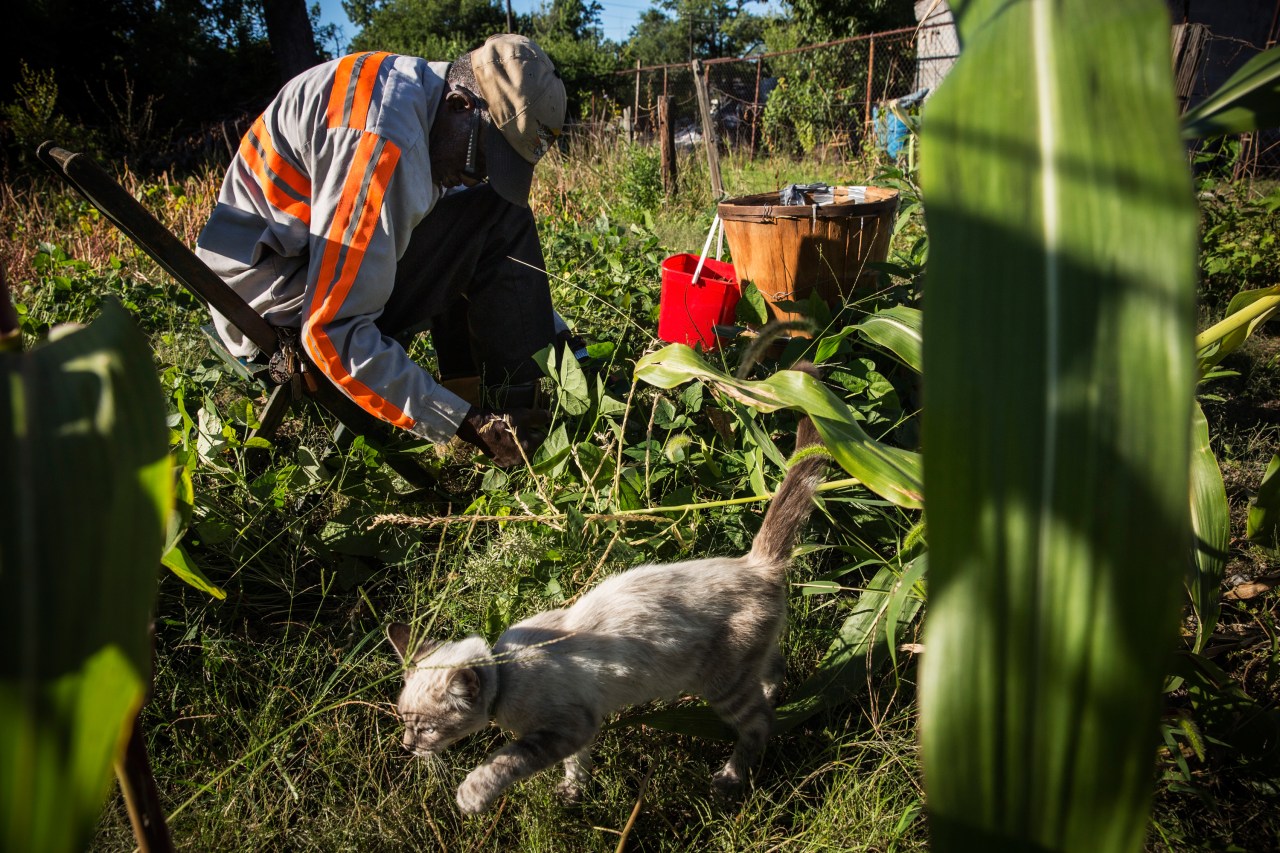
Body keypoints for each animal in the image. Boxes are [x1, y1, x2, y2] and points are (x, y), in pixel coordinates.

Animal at [389, 389, 824, 809]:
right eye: (404, 722)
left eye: (426, 728)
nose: (408, 747)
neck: (507, 672)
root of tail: (755, 563)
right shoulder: (580, 728)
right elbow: (576, 763)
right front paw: (572, 792)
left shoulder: (567, 726)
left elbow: (508, 759)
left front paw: (472, 795)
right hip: (742, 666)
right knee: (774, 668)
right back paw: (770, 698)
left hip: (722, 685)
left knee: (760, 724)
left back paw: (730, 780)